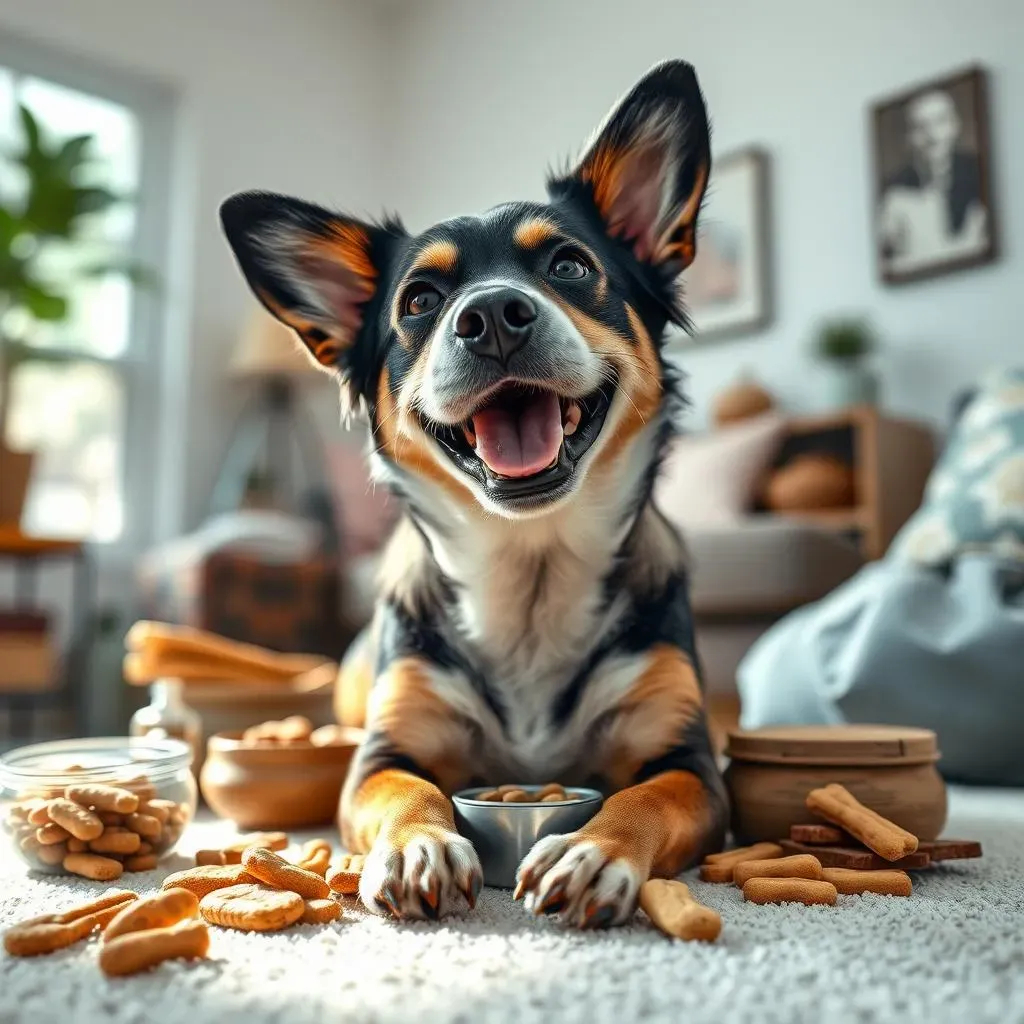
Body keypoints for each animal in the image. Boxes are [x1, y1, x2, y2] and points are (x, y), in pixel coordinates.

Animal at [218, 61, 729, 929]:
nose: (490, 314)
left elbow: (644, 797)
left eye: (568, 266)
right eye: (420, 301)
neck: (529, 567)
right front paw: (419, 846)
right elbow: (408, 792)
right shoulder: (382, 755)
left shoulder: (690, 761)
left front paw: (594, 852)